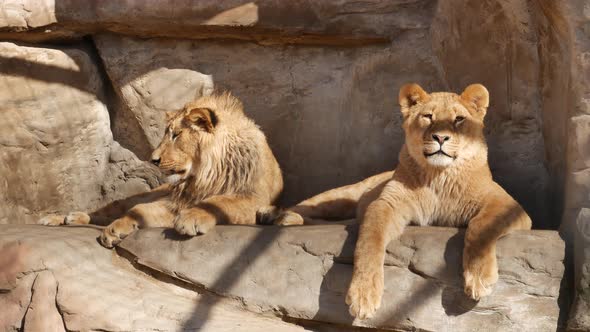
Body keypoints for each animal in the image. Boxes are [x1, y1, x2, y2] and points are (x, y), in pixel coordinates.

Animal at [39, 92, 284, 248]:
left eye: (176, 135)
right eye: (168, 134)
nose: (153, 159)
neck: (204, 175)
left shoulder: (255, 199)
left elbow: (219, 202)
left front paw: (192, 218)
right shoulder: (174, 203)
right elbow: (138, 210)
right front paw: (115, 229)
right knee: (106, 210)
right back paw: (61, 217)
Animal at [270, 82, 536, 320]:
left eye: (459, 119)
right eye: (428, 117)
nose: (441, 137)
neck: (439, 176)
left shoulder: (508, 205)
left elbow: (480, 227)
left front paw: (479, 277)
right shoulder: (386, 204)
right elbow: (369, 241)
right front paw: (363, 294)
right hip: (344, 195)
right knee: (314, 204)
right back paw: (284, 217)